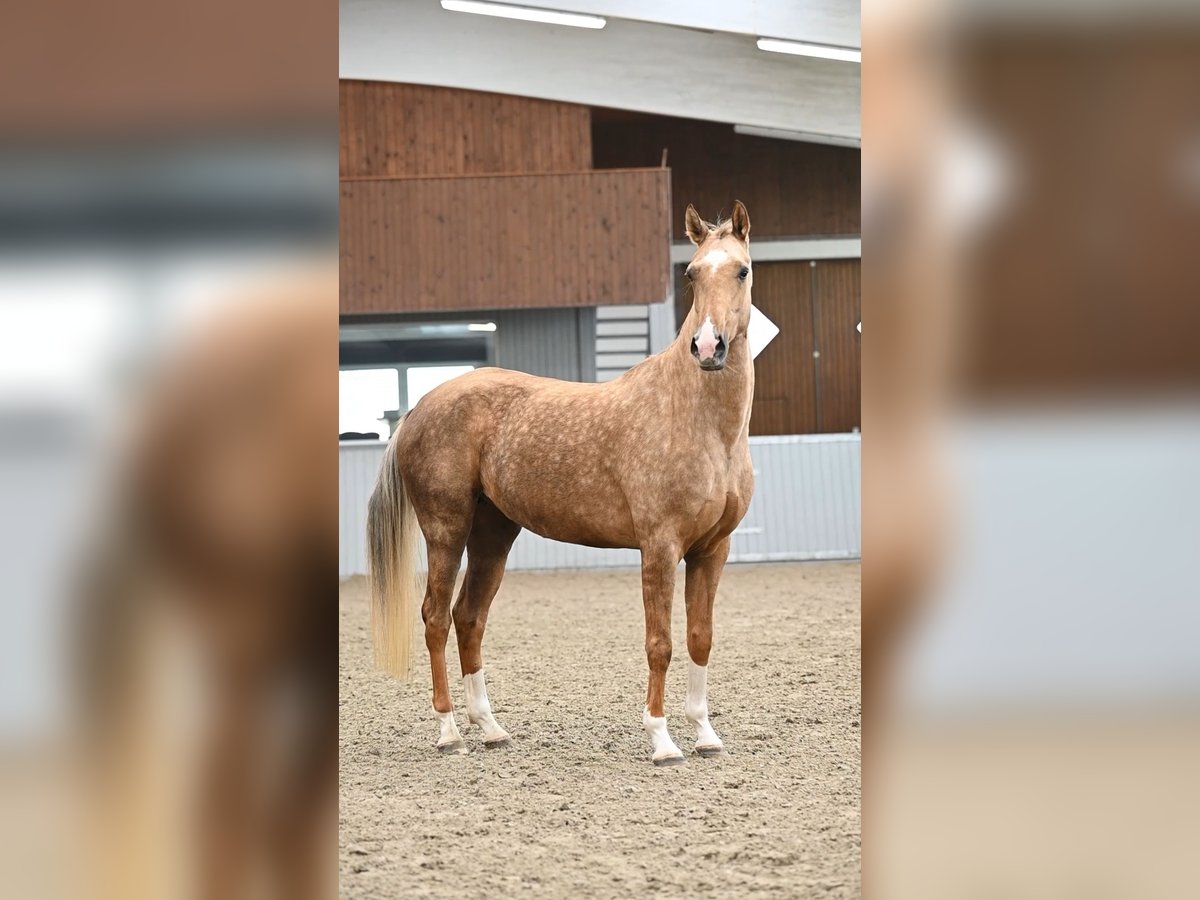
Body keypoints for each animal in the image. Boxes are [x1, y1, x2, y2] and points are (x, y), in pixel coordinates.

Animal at [369, 200, 753, 763]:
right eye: (691, 274)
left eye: (741, 270)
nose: (708, 347)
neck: (697, 420)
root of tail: (421, 407)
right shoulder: (659, 547)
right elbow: (659, 643)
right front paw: (662, 740)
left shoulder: (712, 549)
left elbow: (699, 639)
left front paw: (705, 735)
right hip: (446, 530)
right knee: (436, 617)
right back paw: (449, 732)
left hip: (492, 534)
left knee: (468, 617)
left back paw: (491, 728)